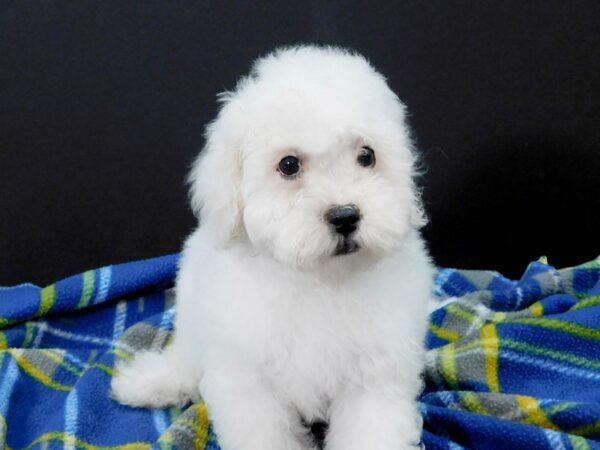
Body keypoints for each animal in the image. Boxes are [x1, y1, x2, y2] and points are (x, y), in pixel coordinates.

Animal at [111, 46, 432, 450]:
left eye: (367, 156)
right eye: (289, 165)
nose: (345, 216)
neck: (318, 279)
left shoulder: (376, 373)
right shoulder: (247, 380)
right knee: (187, 356)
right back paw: (150, 382)